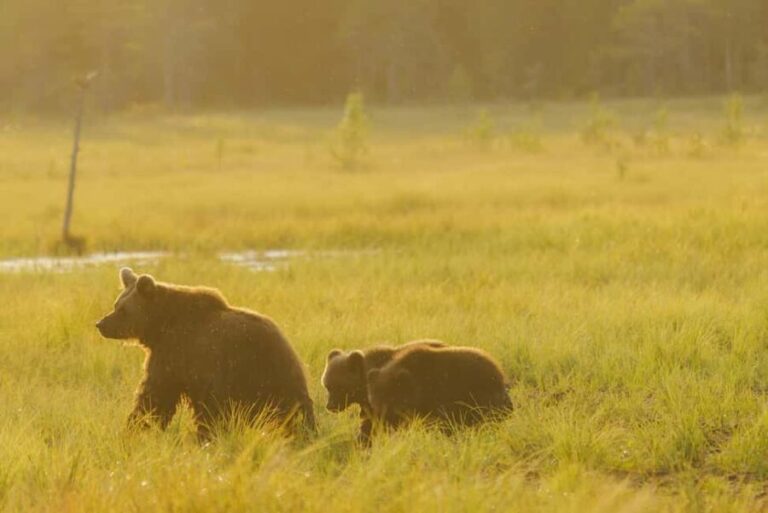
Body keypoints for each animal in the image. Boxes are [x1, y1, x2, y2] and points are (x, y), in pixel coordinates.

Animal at [96, 267, 316, 440]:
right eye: (116, 304)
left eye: (123, 310)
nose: (101, 324)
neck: (161, 326)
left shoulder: (176, 353)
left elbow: (155, 394)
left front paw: (137, 426)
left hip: (257, 373)